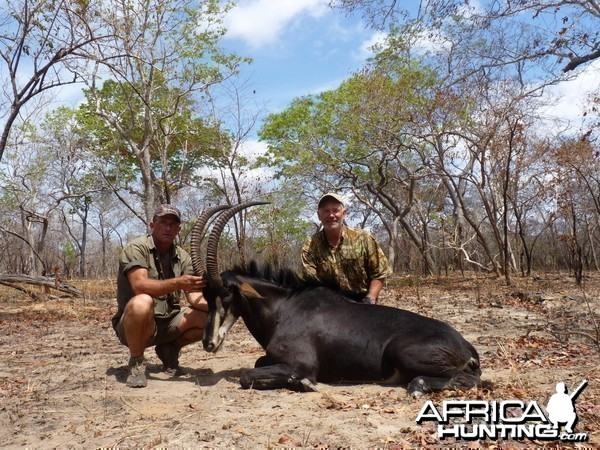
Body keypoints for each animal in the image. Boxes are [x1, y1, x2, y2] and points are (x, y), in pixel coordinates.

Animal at [192, 204, 482, 398]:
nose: (208, 343)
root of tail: (465, 344)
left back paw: (418, 386)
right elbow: (255, 364)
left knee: (465, 379)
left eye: (226, 294)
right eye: (205, 296)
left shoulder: (301, 363)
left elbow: (248, 375)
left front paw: (302, 383)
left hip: (404, 353)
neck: (282, 309)